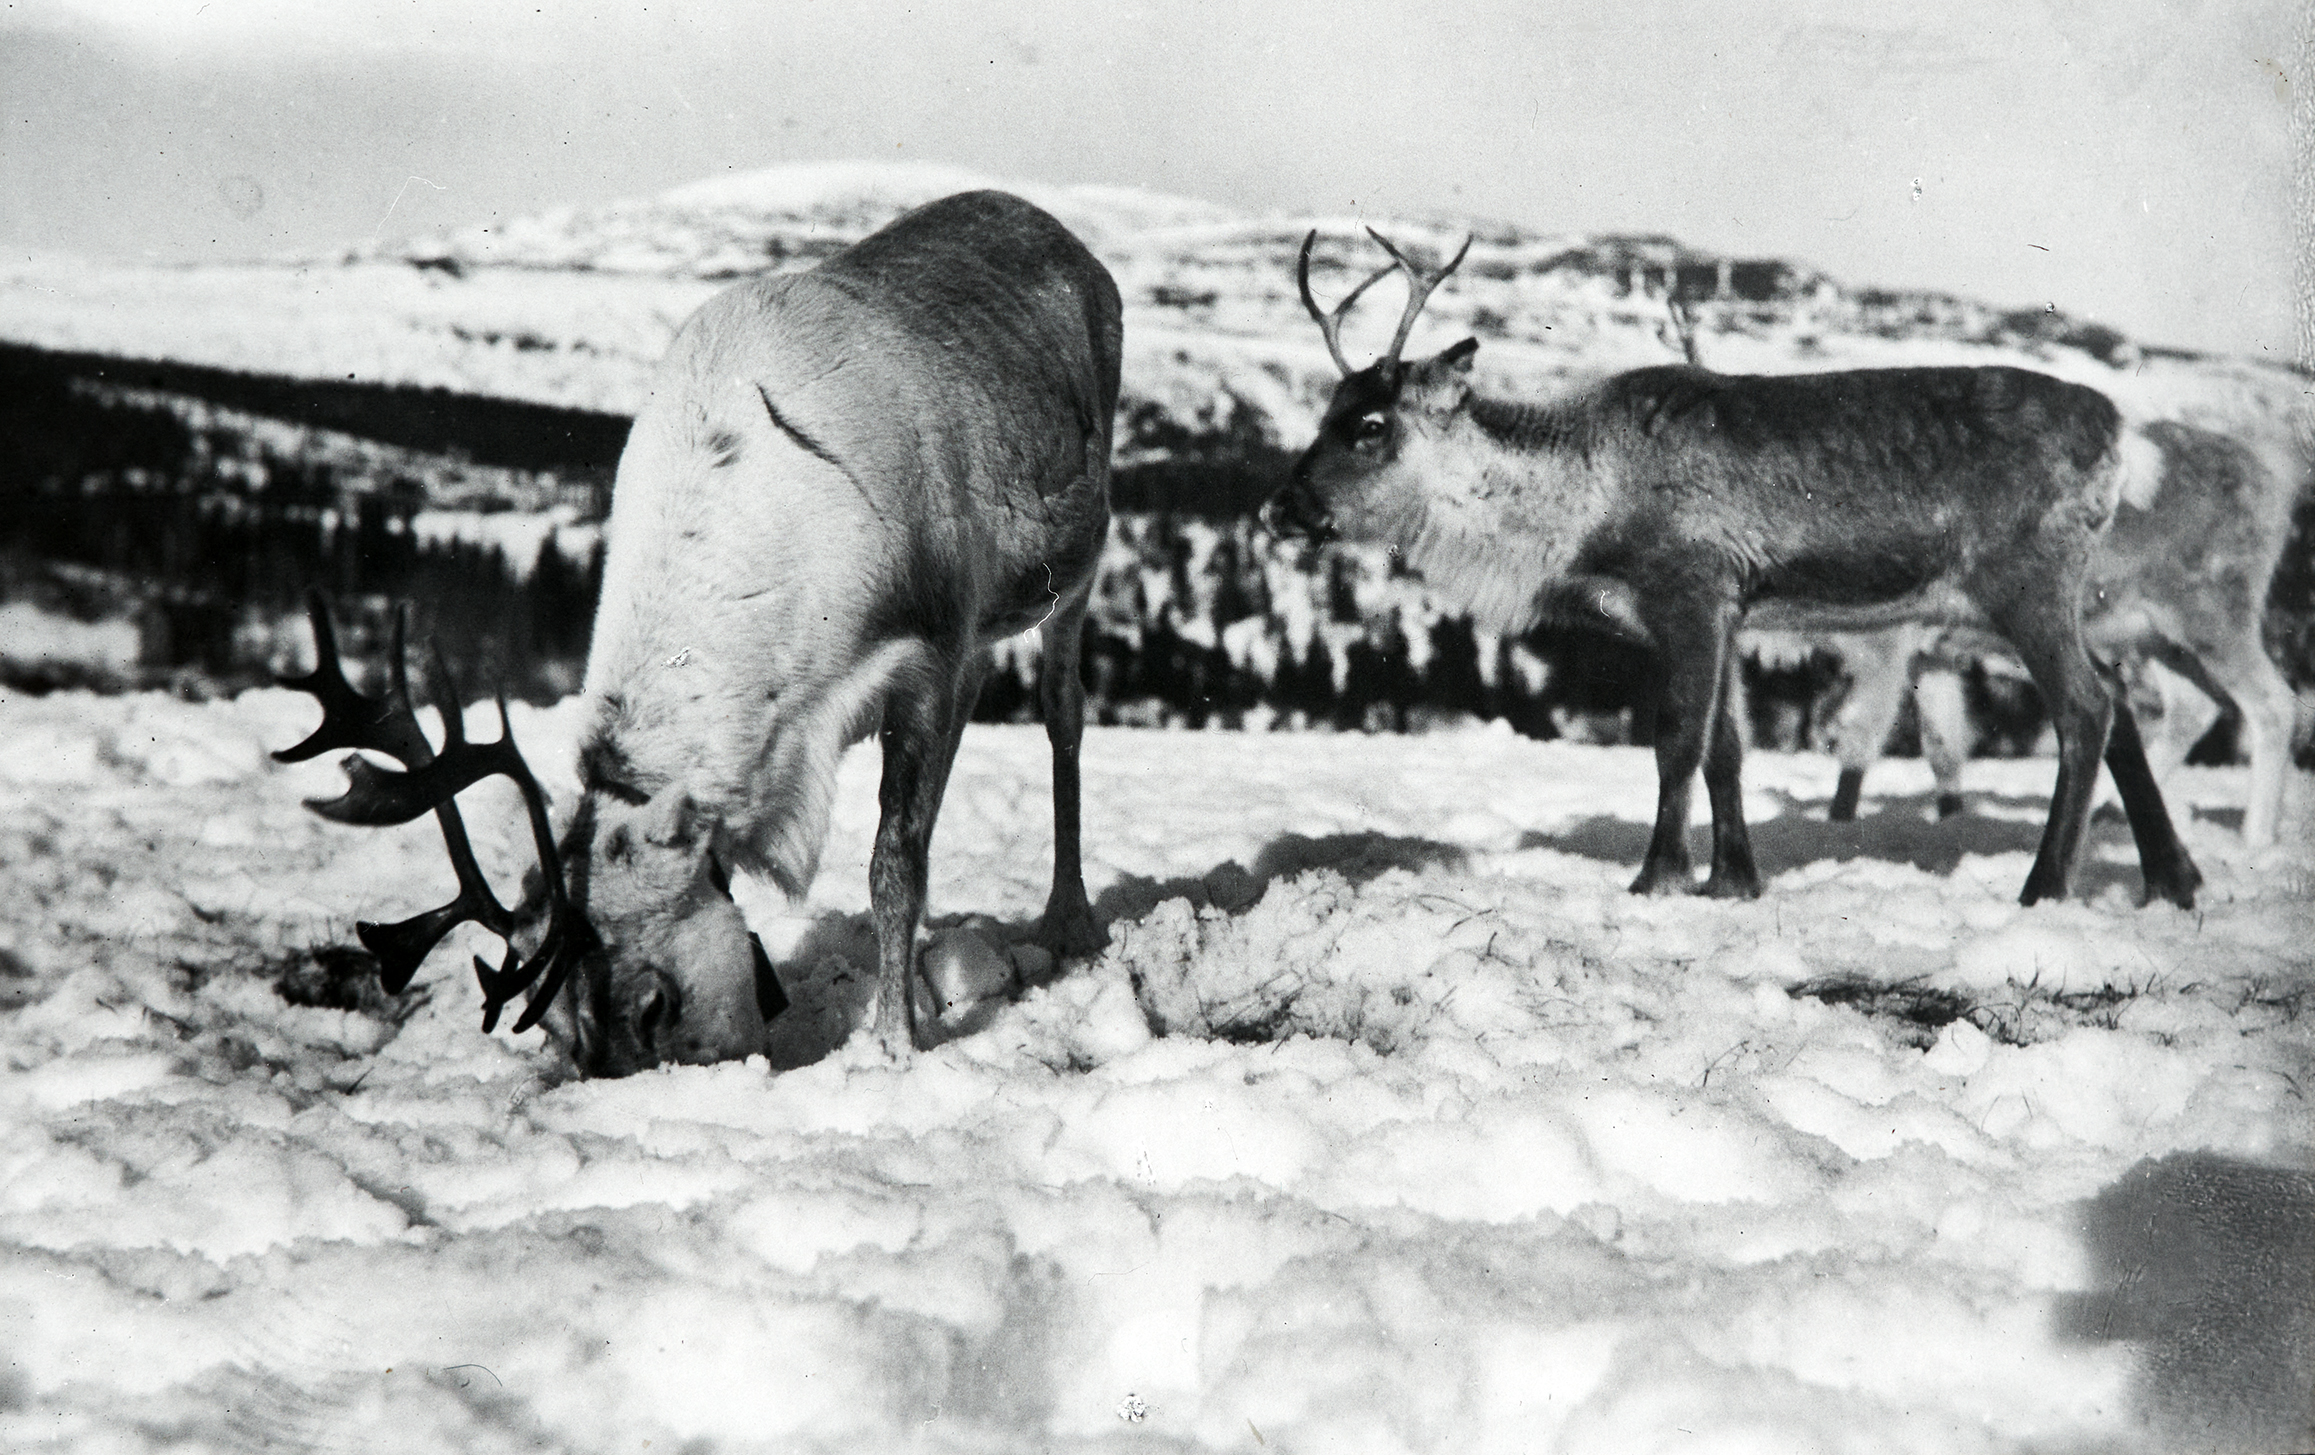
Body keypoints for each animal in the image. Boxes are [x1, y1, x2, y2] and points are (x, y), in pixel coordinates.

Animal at [275, 190, 1122, 1075]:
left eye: (656, 1002)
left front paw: (893, 1041)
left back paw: (1068, 915)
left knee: (1062, 713)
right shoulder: (928, 656)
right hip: (994, 622)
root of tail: (1067, 240)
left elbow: (896, 859)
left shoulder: (928, 643)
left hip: (1078, 560)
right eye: (557, 1029)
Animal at [1263, 229, 2202, 909]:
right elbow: (1726, 747)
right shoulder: (1718, 613)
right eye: (1326, 409)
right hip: (2024, 601)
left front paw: (1657, 875)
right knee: (2117, 699)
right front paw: (1735, 879)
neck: (1582, 512)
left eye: (1371, 424)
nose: (1281, 508)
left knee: (2085, 708)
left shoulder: (1691, 587)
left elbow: (1677, 738)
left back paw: (2045, 886)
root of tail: (2121, 434)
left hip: (2024, 581)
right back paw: (2172, 878)